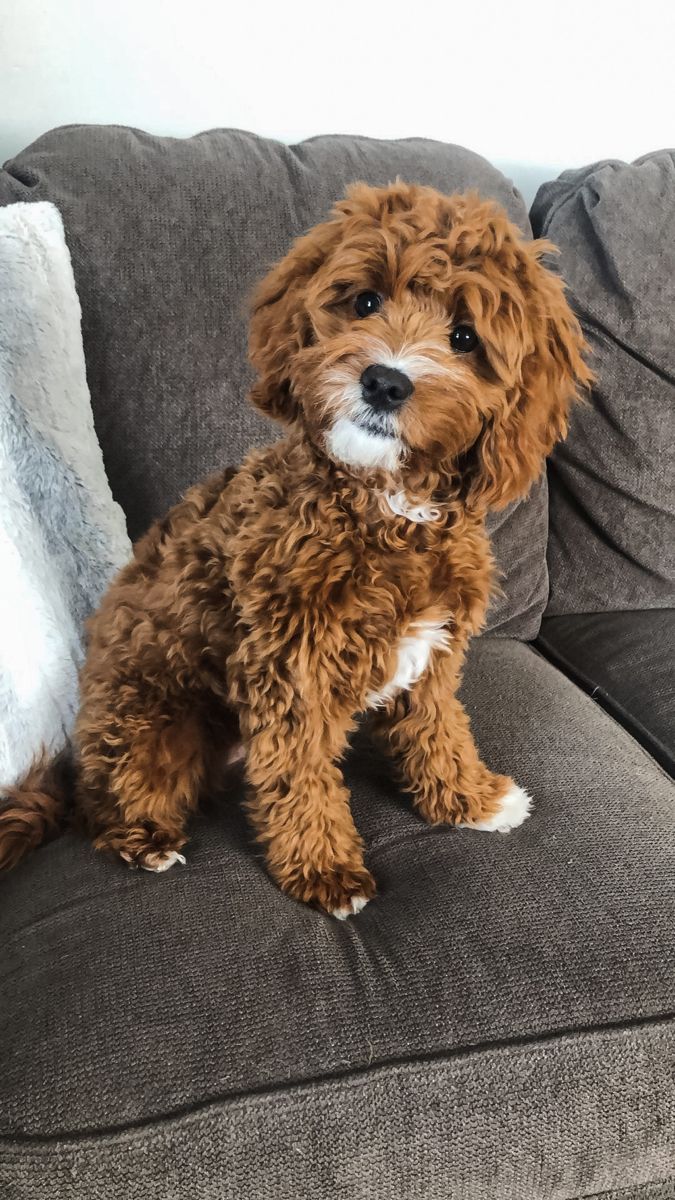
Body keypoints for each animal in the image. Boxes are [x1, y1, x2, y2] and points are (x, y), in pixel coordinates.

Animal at [0, 182, 586, 912]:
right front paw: (325, 869)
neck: (384, 507)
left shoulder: (432, 653)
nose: (385, 382)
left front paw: (470, 798)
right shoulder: (291, 672)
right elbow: (300, 775)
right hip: (150, 725)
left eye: (464, 338)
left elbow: (437, 730)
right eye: (365, 301)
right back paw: (145, 841)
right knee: (107, 807)